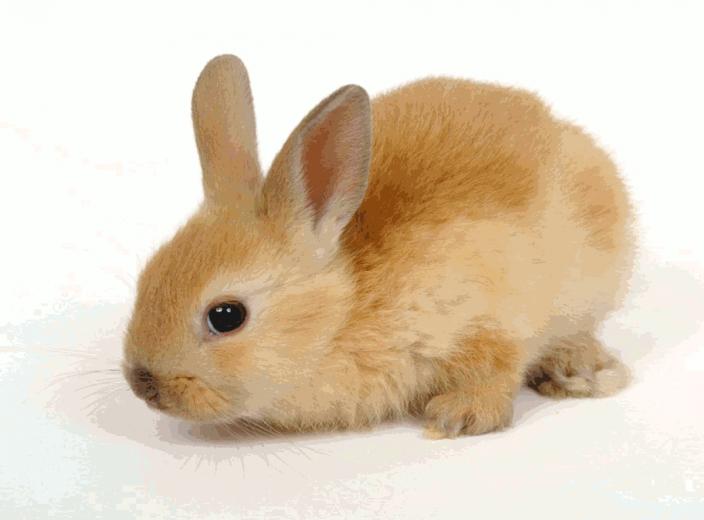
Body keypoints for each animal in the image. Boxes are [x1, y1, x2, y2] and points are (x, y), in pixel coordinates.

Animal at [123, 54, 634, 438]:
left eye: (226, 316)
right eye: (148, 277)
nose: (141, 384)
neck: (344, 314)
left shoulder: (484, 320)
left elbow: (495, 368)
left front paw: (457, 418)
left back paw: (582, 372)